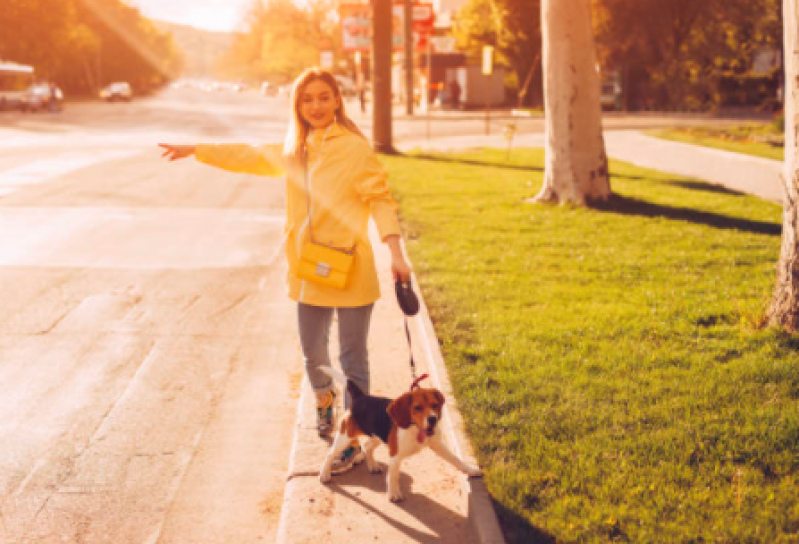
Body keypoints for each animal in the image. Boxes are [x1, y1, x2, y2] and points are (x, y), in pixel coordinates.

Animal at [318, 366, 482, 502]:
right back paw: (324, 474)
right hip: (346, 436)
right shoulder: (395, 456)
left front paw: (471, 470)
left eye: (435, 405)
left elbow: (456, 460)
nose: (433, 419)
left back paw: (373, 466)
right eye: (417, 408)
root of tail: (361, 397)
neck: (415, 428)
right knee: (330, 454)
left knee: (367, 446)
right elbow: (393, 476)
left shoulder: (437, 445)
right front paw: (394, 494)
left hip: (377, 436)